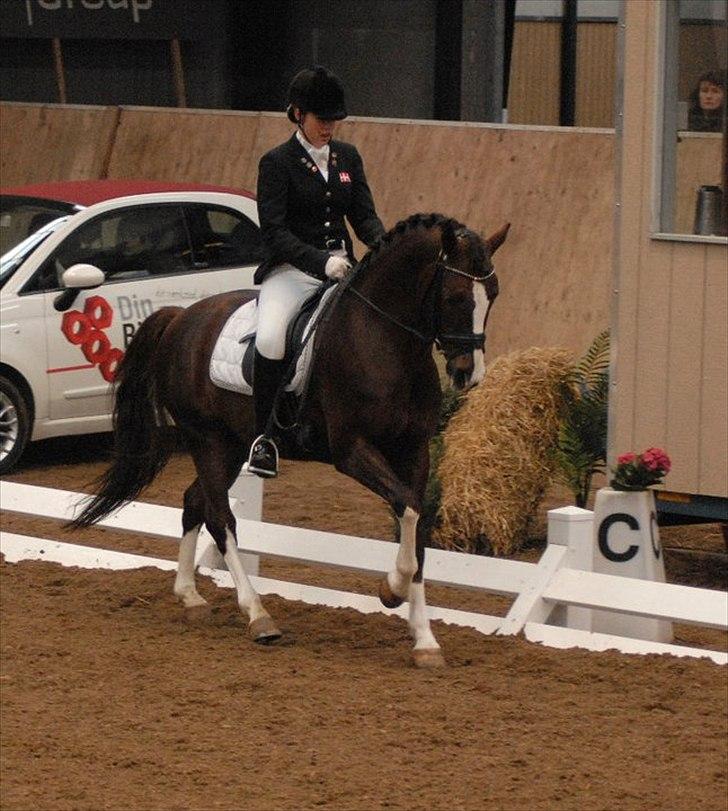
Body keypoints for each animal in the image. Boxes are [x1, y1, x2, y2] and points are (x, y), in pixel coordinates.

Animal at [72, 212, 509, 668]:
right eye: (456, 296)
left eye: (492, 294)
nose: (468, 374)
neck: (385, 341)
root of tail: (180, 316)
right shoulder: (352, 451)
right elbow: (407, 509)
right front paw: (391, 589)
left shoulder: (414, 451)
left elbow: (416, 520)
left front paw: (424, 638)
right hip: (207, 440)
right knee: (219, 517)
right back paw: (257, 615)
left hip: (230, 445)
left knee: (194, 501)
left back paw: (190, 597)